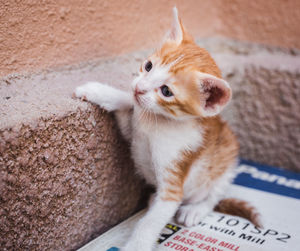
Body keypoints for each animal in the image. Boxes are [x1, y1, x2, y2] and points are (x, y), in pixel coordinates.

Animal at [74, 6, 260, 250]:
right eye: (149, 66)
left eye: (166, 91)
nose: (139, 88)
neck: (158, 122)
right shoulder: (133, 132)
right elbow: (127, 104)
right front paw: (98, 91)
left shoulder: (174, 180)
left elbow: (150, 222)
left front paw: (136, 245)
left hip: (227, 161)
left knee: (213, 195)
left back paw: (195, 209)